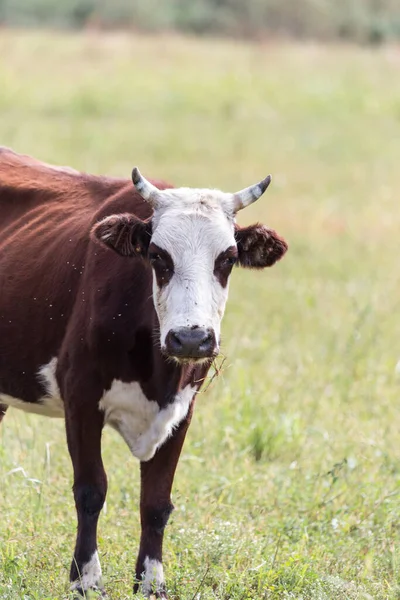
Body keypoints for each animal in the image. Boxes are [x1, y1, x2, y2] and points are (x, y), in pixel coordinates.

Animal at [0, 146, 288, 600]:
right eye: (157, 256)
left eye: (227, 259)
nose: (191, 339)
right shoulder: (80, 399)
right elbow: (91, 490)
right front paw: (86, 579)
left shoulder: (183, 409)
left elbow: (156, 502)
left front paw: (152, 581)